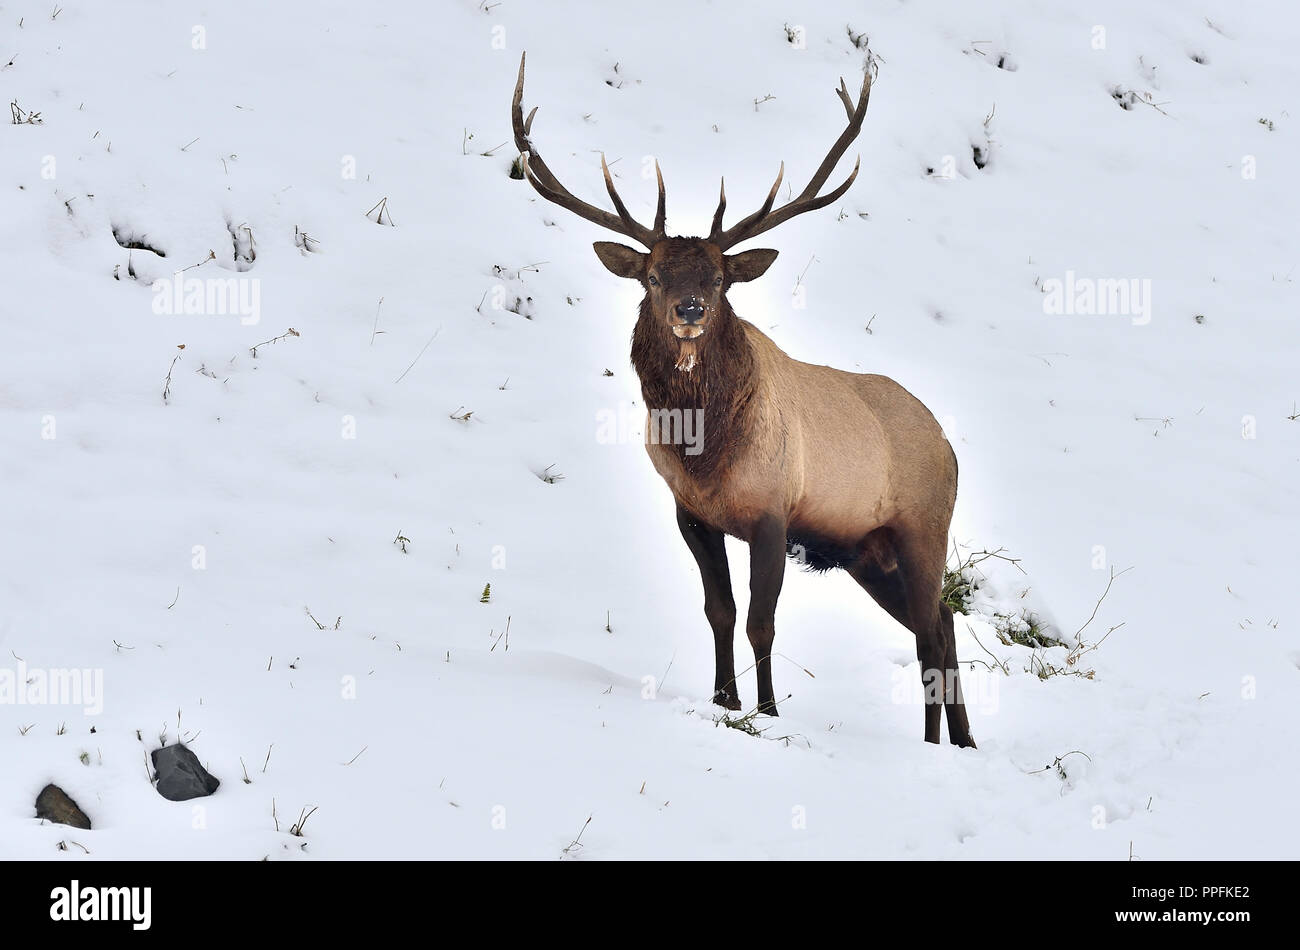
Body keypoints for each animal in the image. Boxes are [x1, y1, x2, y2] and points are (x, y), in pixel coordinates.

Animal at [506, 55, 977, 748]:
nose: (690, 310)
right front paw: (724, 699)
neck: (705, 452)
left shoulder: (772, 514)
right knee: (940, 621)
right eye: (653, 275)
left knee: (931, 631)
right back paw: (952, 741)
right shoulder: (692, 514)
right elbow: (719, 611)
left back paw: (945, 742)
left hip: (922, 527)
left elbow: (762, 621)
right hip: (867, 552)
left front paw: (769, 709)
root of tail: (948, 444)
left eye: (721, 279)